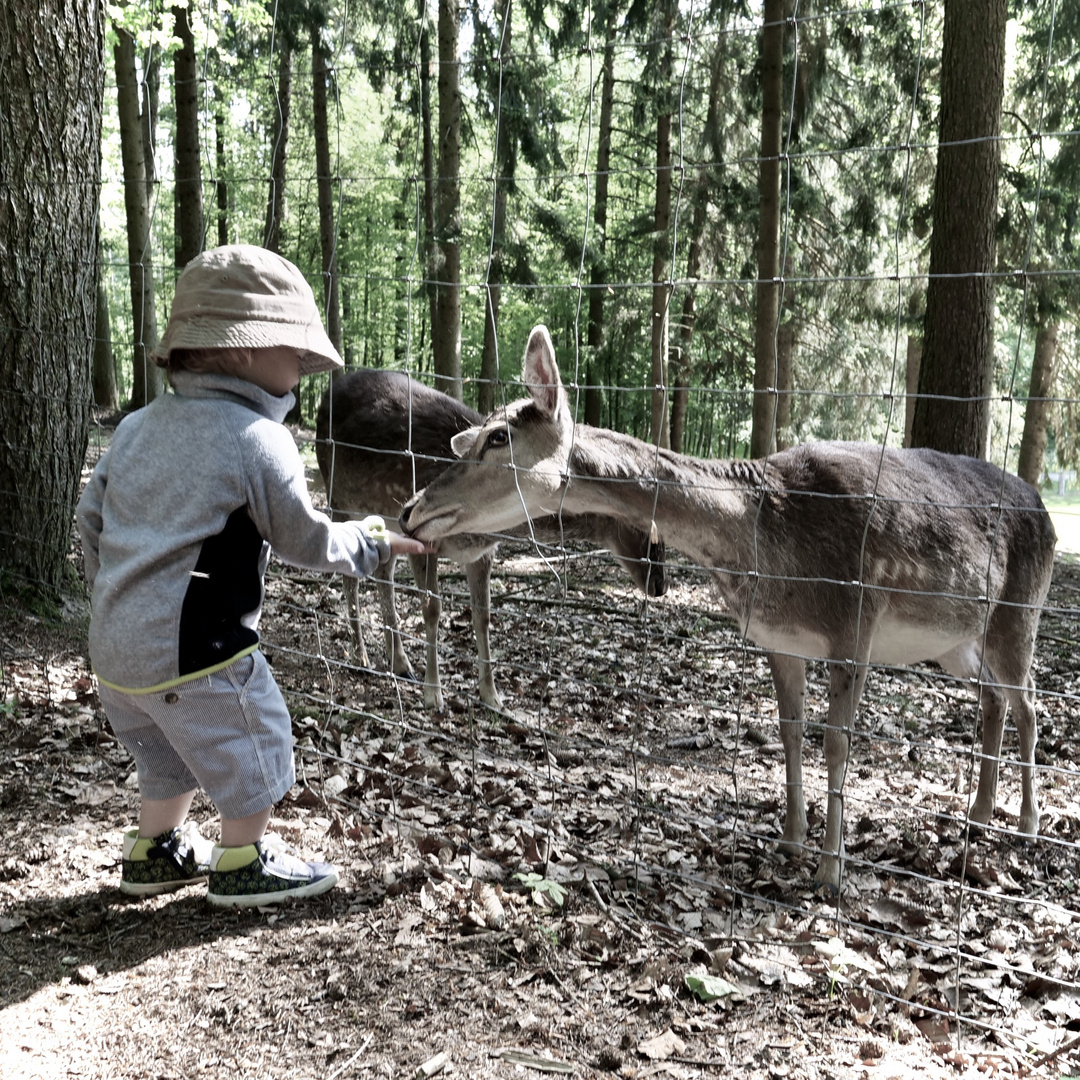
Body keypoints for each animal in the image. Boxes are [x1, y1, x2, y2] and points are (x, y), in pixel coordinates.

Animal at [315, 371, 665, 717]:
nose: (660, 585)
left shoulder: (482, 552)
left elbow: (483, 616)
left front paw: (492, 696)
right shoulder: (422, 537)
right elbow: (432, 609)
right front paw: (433, 695)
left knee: (383, 572)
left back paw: (398, 662)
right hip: (338, 497)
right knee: (350, 575)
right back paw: (361, 656)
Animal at [401, 321, 1058, 894]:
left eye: (499, 437)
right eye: (476, 433)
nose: (411, 509)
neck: (766, 548)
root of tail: (1046, 511)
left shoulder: (855, 619)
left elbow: (837, 742)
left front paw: (831, 873)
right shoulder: (779, 637)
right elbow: (790, 730)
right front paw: (790, 841)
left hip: (1020, 610)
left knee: (1029, 703)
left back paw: (1026, 826)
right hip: (957, 642)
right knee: (994, 700)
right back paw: (980, 814)